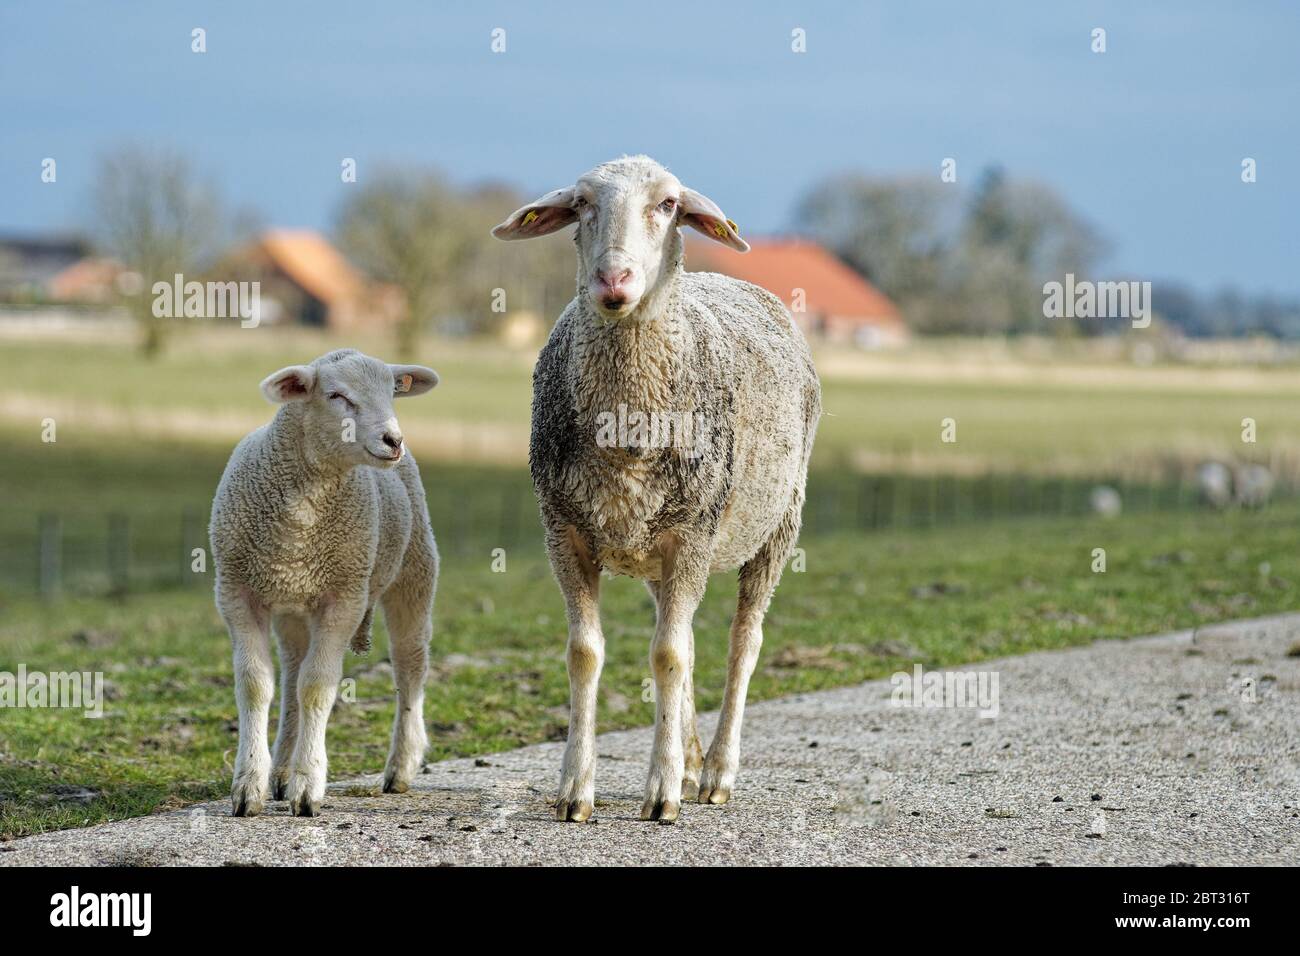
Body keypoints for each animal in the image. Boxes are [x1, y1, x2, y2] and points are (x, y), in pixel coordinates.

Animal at [209, 348, 441, 816]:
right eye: (336, 396)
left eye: (392, 392)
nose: (393, 440)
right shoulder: (236, 593)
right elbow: (256, 685)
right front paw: (249, 786)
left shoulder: (344, 598)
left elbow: (317, 687)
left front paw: (307, 787)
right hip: (293, 606)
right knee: (291, 673)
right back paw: (280, 771)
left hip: (414, 571)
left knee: (410, 667)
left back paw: (401, 767)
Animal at [491, 155, 816, 822]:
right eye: (582, 203)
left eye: (668, 205)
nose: (613, 278)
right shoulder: (564, 531)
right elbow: (587, 653)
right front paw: (575, 789)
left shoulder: (693, 533)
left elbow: (668, 656)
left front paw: (662, 791)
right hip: (654, 544)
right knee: (684, 634)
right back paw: (692, 761)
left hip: (776, 525)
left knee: (742, 641)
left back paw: (715, 772)